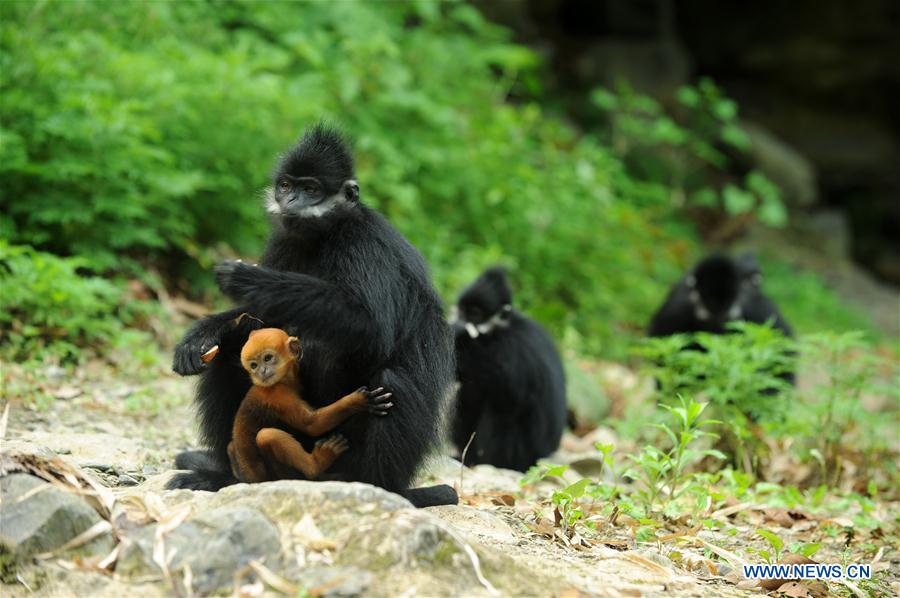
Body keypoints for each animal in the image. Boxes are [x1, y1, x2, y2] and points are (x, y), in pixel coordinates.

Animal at [229, 330, 394, 486]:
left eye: (267, 358)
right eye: (254, 366)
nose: (261, 372)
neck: (283, 382)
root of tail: (254, 480)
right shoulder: (277, 394)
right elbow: (311, 424)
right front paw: (358, 401)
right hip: (280, 474)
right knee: (267, 436)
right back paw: (317, 464)